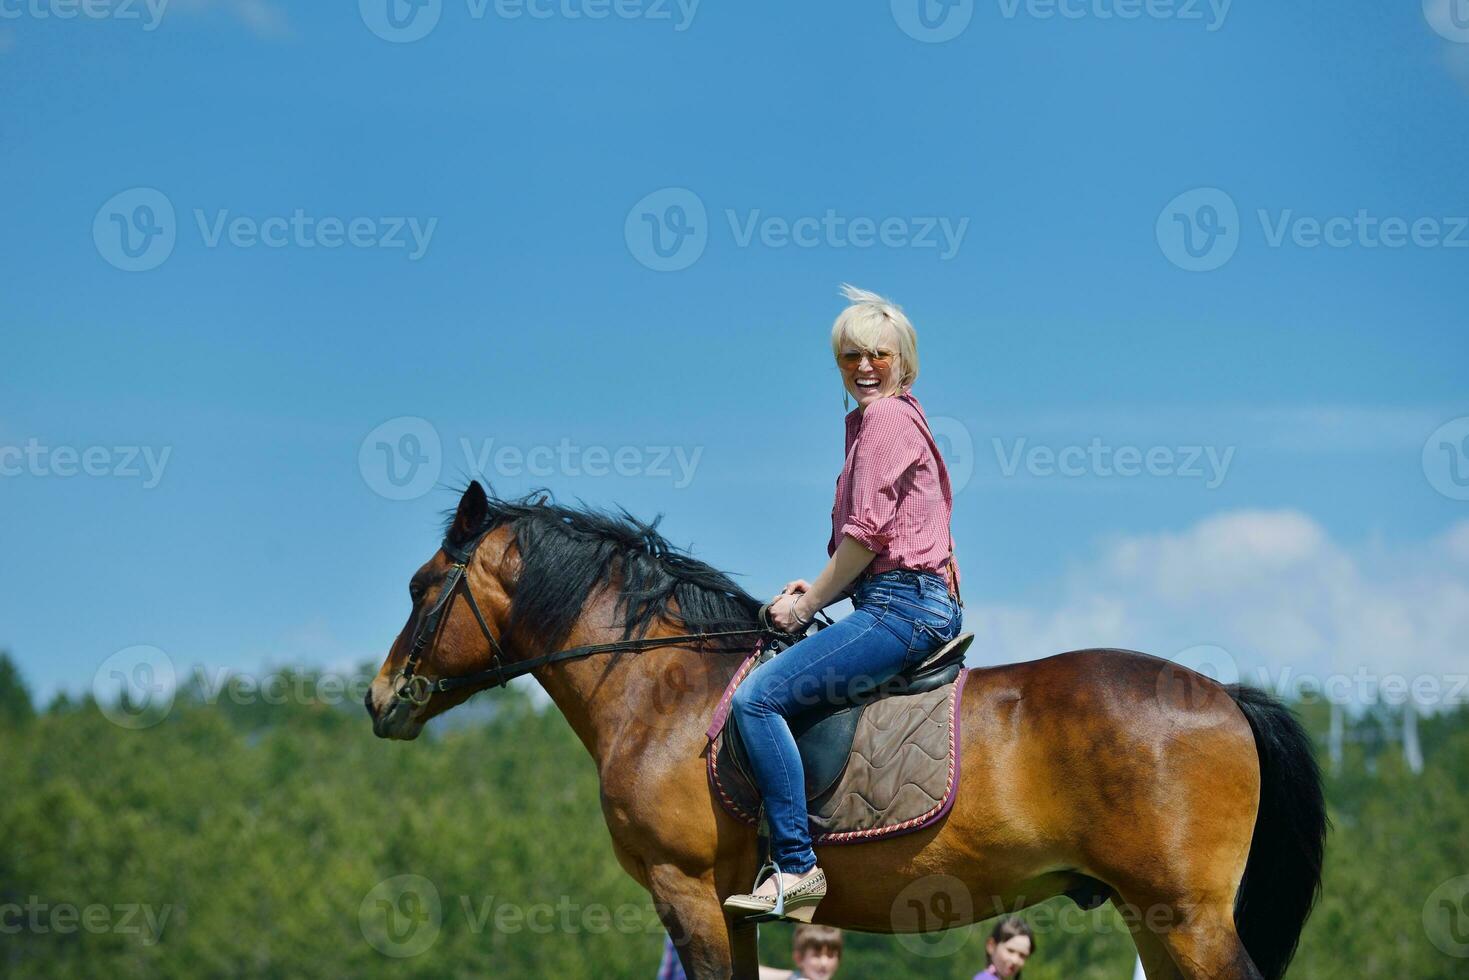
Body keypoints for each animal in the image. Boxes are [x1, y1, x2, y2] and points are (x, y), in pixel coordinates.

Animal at [367, 484, 1333, 980]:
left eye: (420, 586)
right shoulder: (729, 908)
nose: (380, 701)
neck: (662, 688)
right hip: (1152, 918)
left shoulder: (685, 892)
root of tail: (1222, 694)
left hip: (1187, 918)